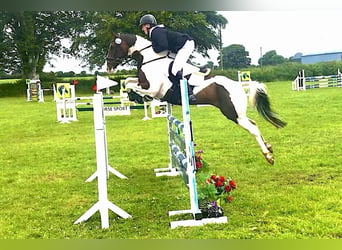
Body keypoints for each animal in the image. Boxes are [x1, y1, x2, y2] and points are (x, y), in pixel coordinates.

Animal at [106, 32, 286, 164]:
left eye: (112, 46)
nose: (108, 67)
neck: (150, 59)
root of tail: (238, 85)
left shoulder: (154, 88)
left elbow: (132, 85)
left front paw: (137, 96)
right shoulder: (144, 83)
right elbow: (128, 81)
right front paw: (134, 96)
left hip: (232, 114)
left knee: (252, 128)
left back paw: (268, 156)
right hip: (238, 113)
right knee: (254, 123)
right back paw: (269, 146)